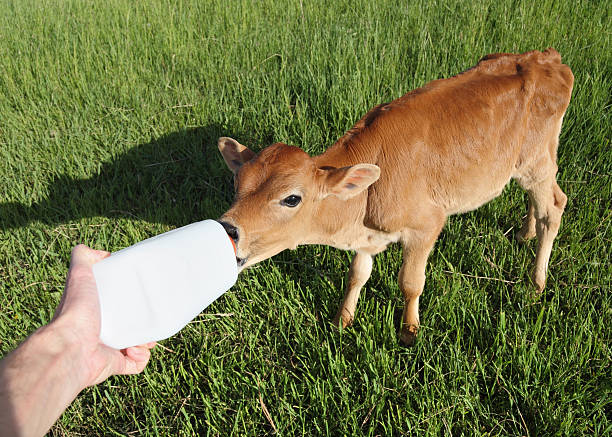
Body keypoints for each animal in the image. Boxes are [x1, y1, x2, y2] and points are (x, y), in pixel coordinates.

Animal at [216, 48, 572, 344]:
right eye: (237, 182)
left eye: (291, 198)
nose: (228, 229)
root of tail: (546, 58)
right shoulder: (367, 237)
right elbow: (357, 275)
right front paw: (343, 319)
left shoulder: (427, 224)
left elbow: (410, 282)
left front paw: (409, 331)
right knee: (536, 204)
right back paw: (526, 233)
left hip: (536, 163)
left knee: (554, 207)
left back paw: (536, 283)